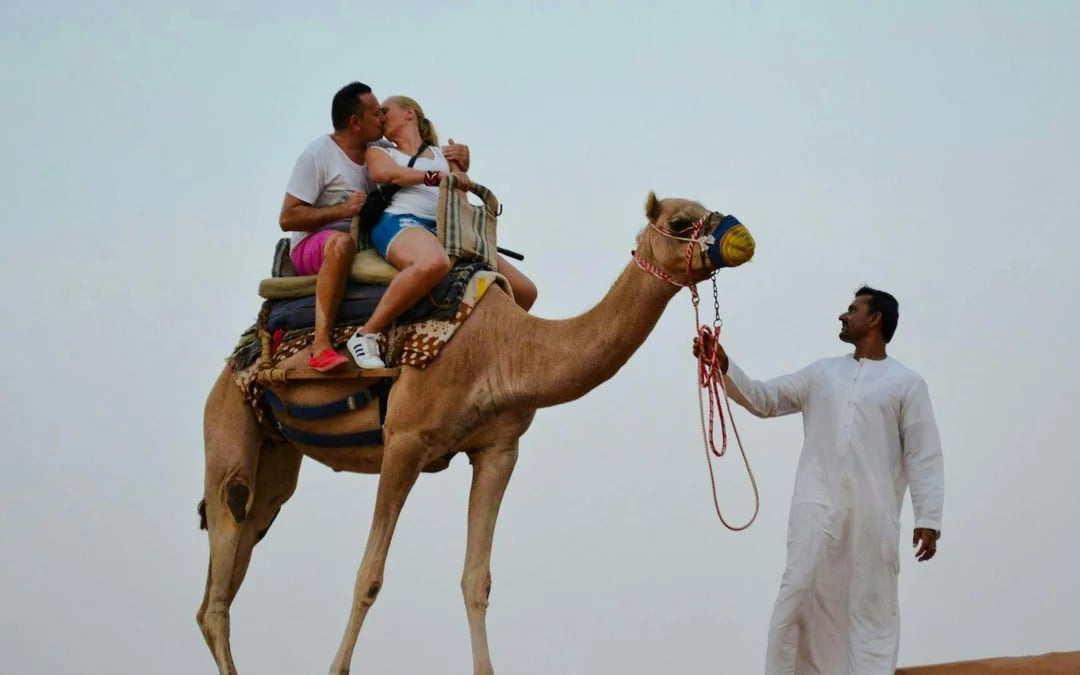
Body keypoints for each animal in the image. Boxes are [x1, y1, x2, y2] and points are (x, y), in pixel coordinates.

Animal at [197, 191, 755, 675]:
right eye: (681, 222)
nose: (742, 237)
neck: (500, 348)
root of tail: (235, 358)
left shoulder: (497, 449)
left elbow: (476, 579)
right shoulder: (404, 440)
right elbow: (368, 575)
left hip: (276, 456)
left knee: (233, 555)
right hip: (227, 424)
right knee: (223, 554)